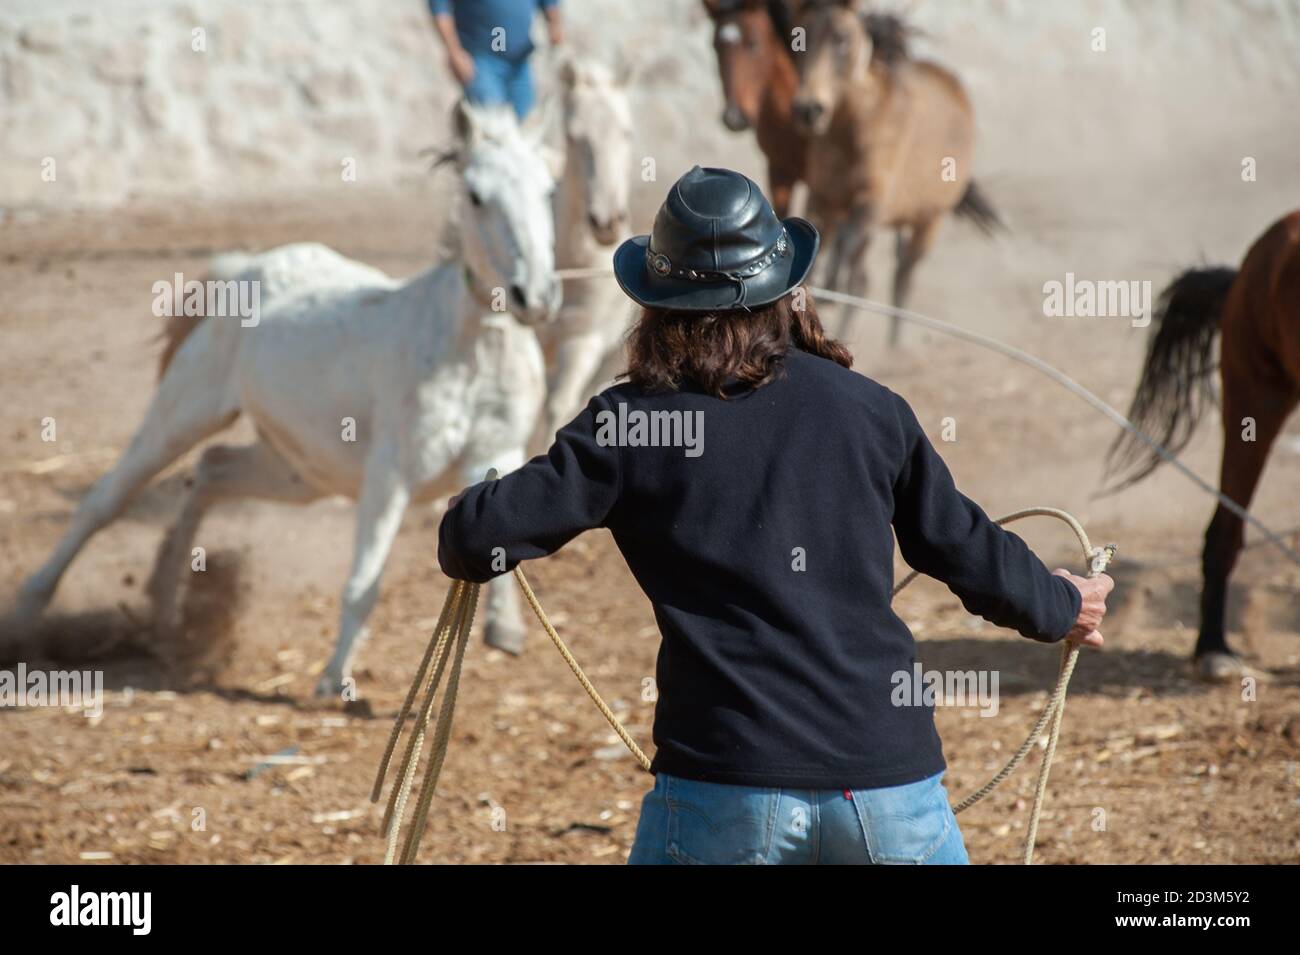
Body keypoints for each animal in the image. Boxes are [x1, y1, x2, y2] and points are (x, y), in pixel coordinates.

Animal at [4, 101, 560, 699]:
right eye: (476, 195)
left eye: (550, 189)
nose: (535, 297)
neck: (469, 348)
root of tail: (245, 269)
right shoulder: (390, 475)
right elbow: (364, 581)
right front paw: (334, 679)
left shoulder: (497, 454)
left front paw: (505, 630)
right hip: (185, 411)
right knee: (108, 499)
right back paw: (26, 613)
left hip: (298, 475)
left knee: (212, 470)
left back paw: (164, 608)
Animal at [790, 1, 1002, 344]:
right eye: (800, 35)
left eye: (842, 37)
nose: (809, 109)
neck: (852, 128)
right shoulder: (821, 197)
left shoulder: (872, 202)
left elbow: (855, 268)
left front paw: (833, 292)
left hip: (928, 221)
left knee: (901, 277)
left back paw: (895, 346)